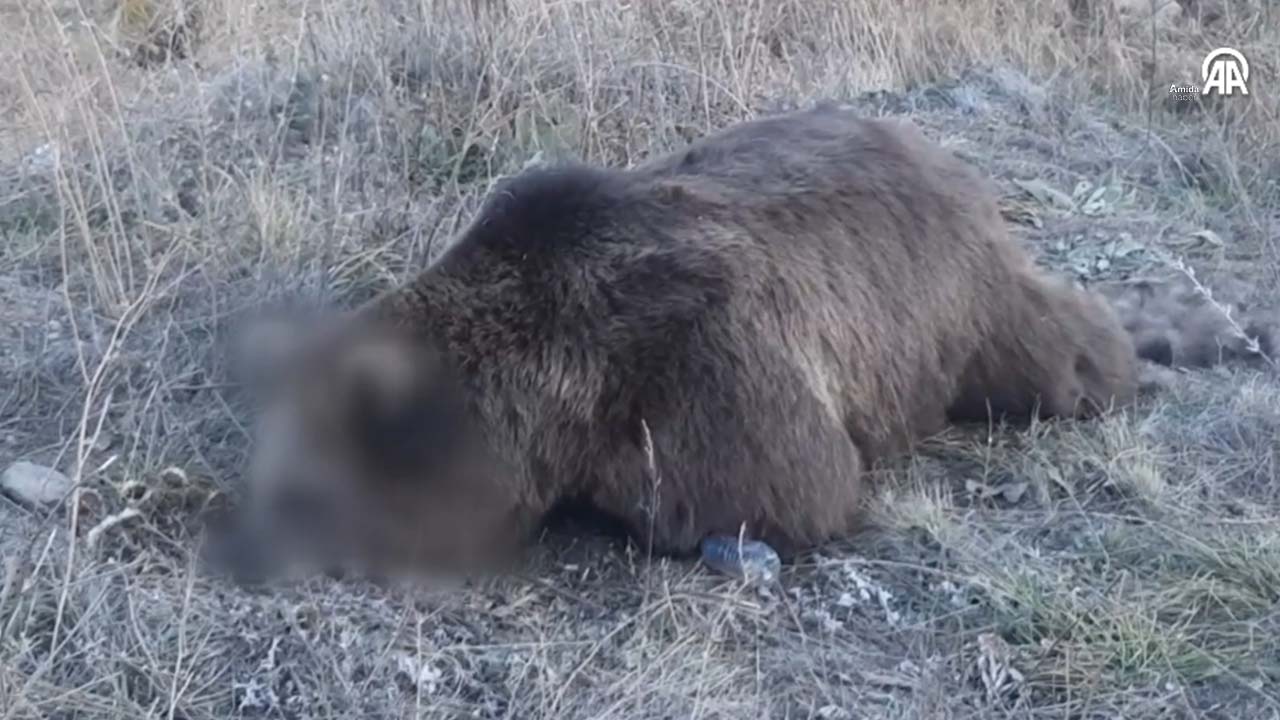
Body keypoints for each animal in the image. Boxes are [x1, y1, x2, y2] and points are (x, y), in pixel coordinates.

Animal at [217, 102, 1141, 584]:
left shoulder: (714, 372)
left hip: (965, 304)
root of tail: (947, 158)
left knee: (1051, 355)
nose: (238, 549)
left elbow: (789, 487)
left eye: (298, 488)